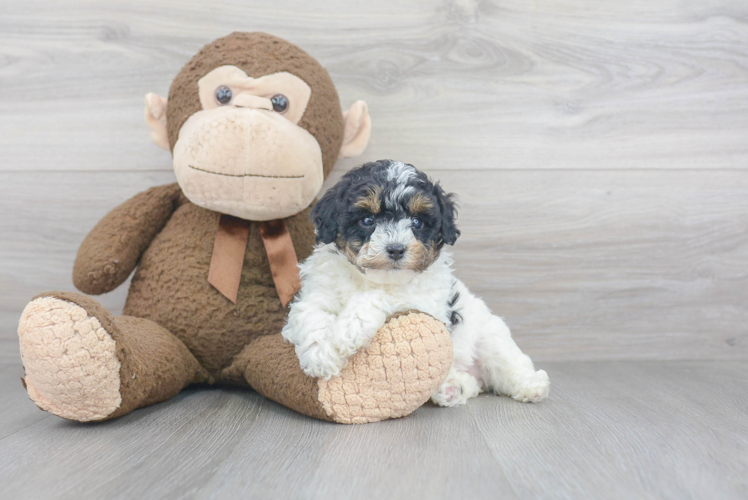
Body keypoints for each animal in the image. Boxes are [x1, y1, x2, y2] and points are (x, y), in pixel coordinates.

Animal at [280, 160, 548, 406]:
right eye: (367, 220)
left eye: (417, 222)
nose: (396, 249)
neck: (367, 279)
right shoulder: (316, 291)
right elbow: (310, 313)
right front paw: (320, 356)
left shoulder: (425, 302)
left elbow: (386, 295)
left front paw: (350, 328)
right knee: (473, 383)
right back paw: (454, 387)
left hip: (490, 335)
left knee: (507, 364)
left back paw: (532, 385)